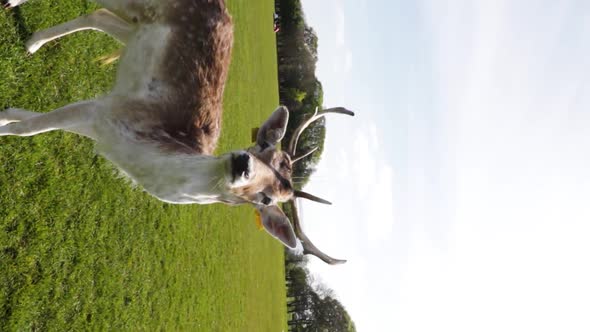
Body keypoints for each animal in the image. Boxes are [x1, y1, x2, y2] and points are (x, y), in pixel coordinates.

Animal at [2, 0, 354, 264]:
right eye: (262, 147)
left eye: (266, 198)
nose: (242, 164)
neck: (136, 156)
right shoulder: (108, 112)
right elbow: (29, 129)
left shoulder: (102, 120)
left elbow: (28, 122)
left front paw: (7, 114)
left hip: (135, 26)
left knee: (98, 15)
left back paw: (32, 43)